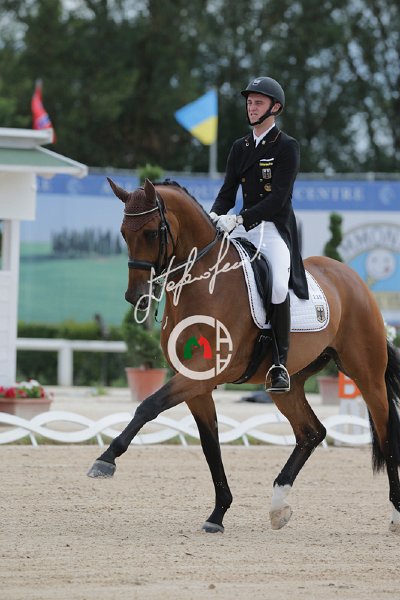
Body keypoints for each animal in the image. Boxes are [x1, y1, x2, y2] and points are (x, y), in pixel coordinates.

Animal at [88, 178, 400, 534]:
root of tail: (354, 280)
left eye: (152, 233)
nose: (135, 295)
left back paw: (395, 515)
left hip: (367, 375)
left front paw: (105, 460)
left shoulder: (202, 372)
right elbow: (210, 444)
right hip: (287, 384)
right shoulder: (196, 383)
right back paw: (278, 506)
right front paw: (218, 514)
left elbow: (148, 406)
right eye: (123, 233)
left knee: (386, 434)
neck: (205, 284)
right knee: (311, 432)